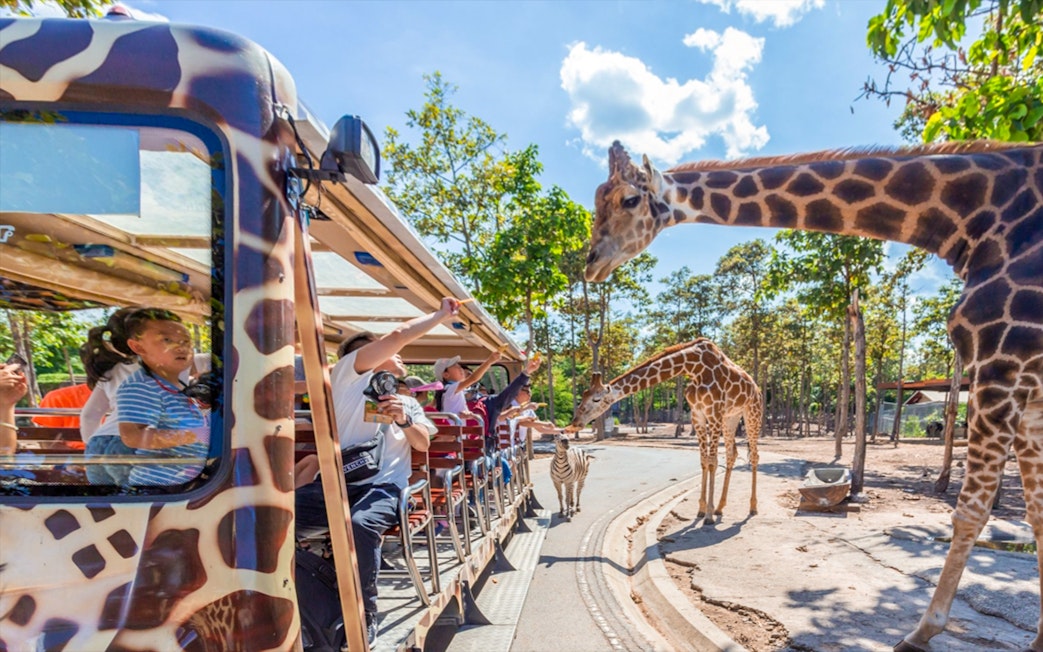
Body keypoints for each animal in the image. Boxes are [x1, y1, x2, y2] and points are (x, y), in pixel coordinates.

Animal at [568, 339, 762, 524]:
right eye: (583, 395)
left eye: (596, 399)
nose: (575, 422)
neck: (694, 368)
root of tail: (757, 388)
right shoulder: (697, 415)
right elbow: (703, 461)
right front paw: (701, 510)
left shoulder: (713, 413)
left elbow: (712, 462)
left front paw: (708, 515)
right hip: (731, 417)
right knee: (732, 453)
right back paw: (721, 508)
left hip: (752, 413)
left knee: (754, 455)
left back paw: (753, 508)